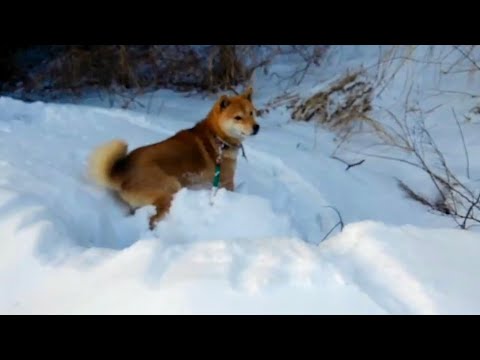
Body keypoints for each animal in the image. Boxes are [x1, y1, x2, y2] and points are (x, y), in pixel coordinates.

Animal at [86, 86, 258, 229]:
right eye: (238, 117)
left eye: (251, 113)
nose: (257, 127)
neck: (217, 137)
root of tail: (121, 174)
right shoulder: (226, 182)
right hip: (170, 187)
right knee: (154, 220)